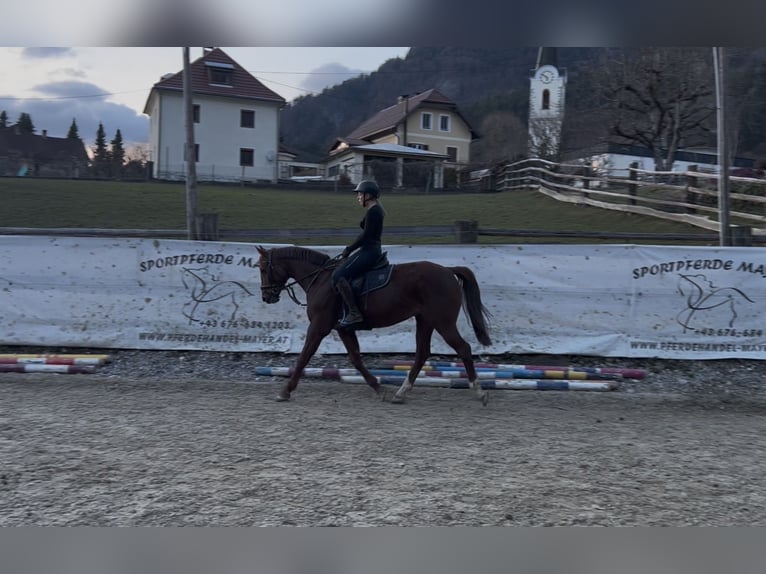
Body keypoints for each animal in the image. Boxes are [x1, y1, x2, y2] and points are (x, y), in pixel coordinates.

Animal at [256, 245, 493, 405]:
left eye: (263, 269)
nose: (266, 297)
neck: (321, 280)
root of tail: (447, 270)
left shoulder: (319, 326)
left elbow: (304, 356)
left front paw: (285, 391)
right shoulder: (344, 328)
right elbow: (356, 359)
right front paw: (379, 388)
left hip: (442, 322)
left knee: (463, 348)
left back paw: (480, 392)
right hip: (425, 321)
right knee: (422, 353)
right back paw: (401, 393)